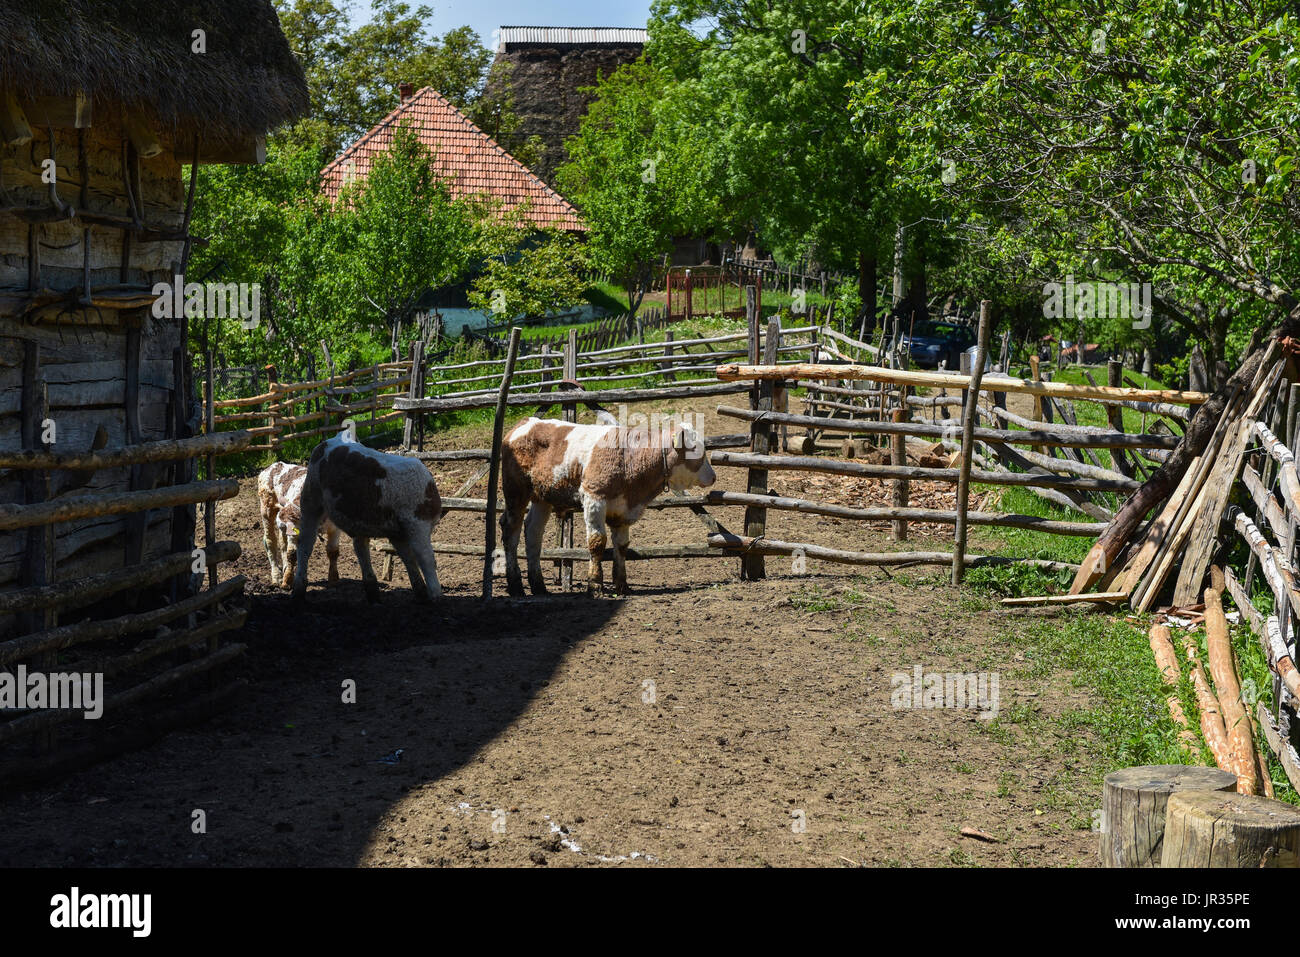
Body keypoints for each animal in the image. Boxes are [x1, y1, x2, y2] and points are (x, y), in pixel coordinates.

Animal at [254, 462, 340, 590]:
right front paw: (287, 581)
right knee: (270, 541)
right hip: (266, 507)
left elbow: (333, 552)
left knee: (282, 543)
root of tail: (274, 465)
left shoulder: (334, 528)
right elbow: (292, 553)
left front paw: (334, 580)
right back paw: (277, 577)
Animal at [501, 416, 717, 595]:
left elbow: (621, 546)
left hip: (542, 498)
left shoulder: (624, 510)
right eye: (695, 449)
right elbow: (597, 542)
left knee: (533, 533)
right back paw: (516, 585)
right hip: (515, 492)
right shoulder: (594, 498)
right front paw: (595, 585)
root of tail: (525, 423)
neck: (628, 459)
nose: (714, 476)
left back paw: (538, 586)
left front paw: (622, 585)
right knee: (511, 531)